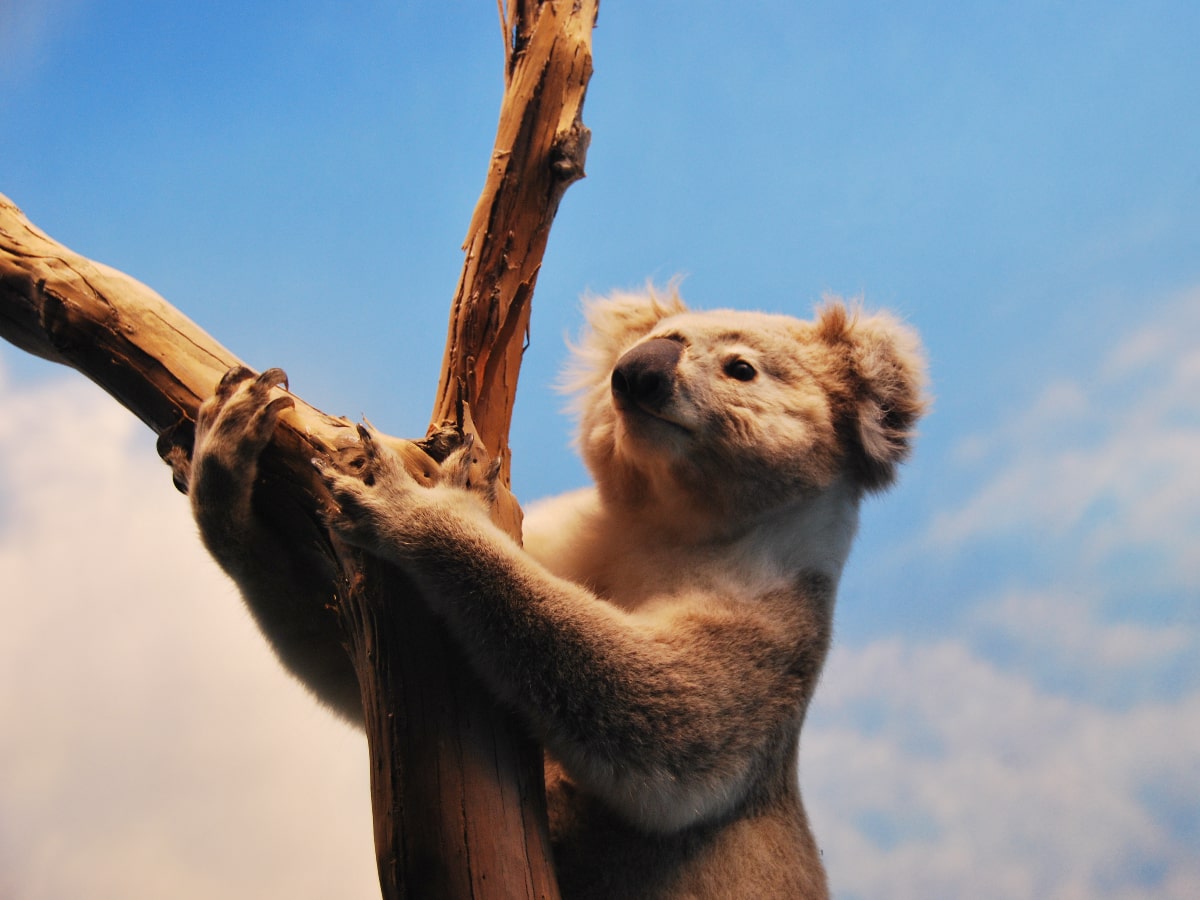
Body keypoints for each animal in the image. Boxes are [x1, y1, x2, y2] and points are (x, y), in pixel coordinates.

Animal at [188, 286, 928, 899]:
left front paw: (409, 505)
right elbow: (347, 667)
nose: (637, 372)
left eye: (740, 368)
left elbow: (662, 720)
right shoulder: (562, 538)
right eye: (657, 338)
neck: (663, 526)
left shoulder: (769, 637)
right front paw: (226, 446)